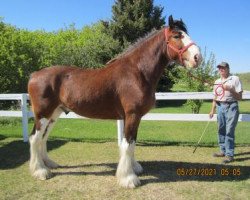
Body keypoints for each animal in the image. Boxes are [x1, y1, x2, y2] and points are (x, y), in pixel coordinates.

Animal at [27, 15, 201, 188]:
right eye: (177, 36)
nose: (197, 57)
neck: (137, 72)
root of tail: (34, 75)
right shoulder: (132, 115)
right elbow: (128, 144)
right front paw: (128, 178)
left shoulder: (134, 117)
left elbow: (132, 143)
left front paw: (134, 168)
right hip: (43, 114)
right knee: (35, 138)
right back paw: (40, 171)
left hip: (54, 114)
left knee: (43, 138)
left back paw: (49, 164)